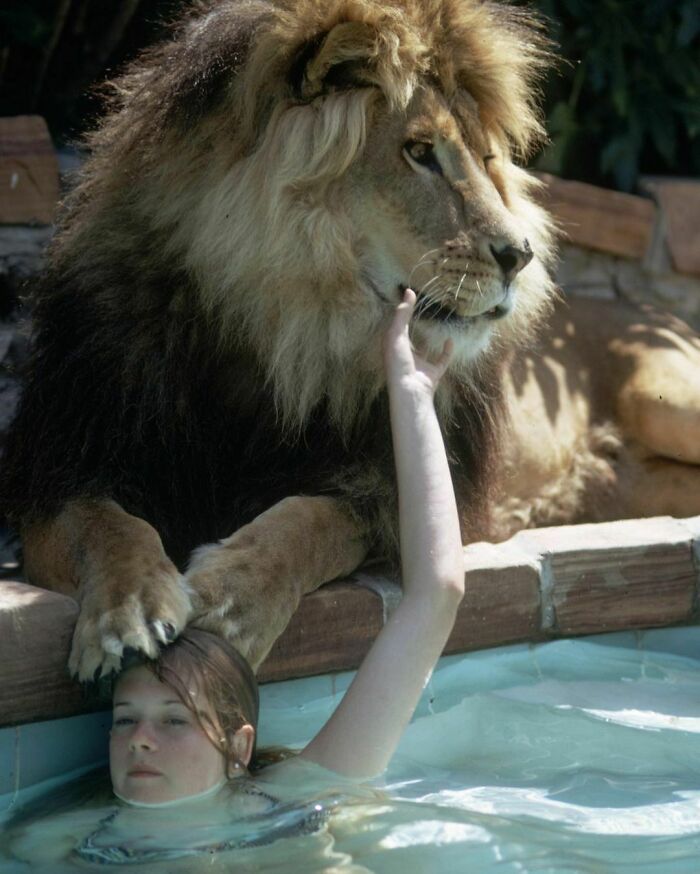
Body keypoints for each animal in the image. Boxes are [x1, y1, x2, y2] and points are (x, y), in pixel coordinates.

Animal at [2, 0, 699, 681]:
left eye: (486, 160)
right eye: (419, 152)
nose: (521, 256)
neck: (277, 332)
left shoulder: (388, 495)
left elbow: (308, 522)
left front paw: (231, 597)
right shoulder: (62, 467)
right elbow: (104, 526)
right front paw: (130, 613)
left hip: (666, 398)